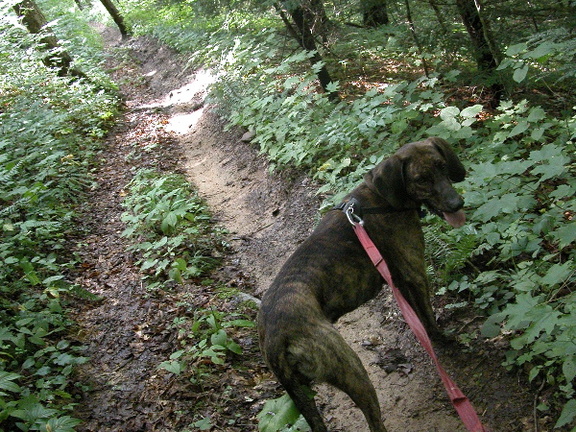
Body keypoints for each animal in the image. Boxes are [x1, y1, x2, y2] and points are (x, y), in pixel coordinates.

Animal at [258, 138, 466, 432]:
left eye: (442, 166)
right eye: (421, 179)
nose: (457, 203)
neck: (383, 200)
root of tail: (275, 338)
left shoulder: (399, 277)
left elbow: (418, 318)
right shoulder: (415, 271)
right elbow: (429, 317)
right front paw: (443, 341)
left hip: (303, 394)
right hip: (352, 370)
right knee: (374, 420)